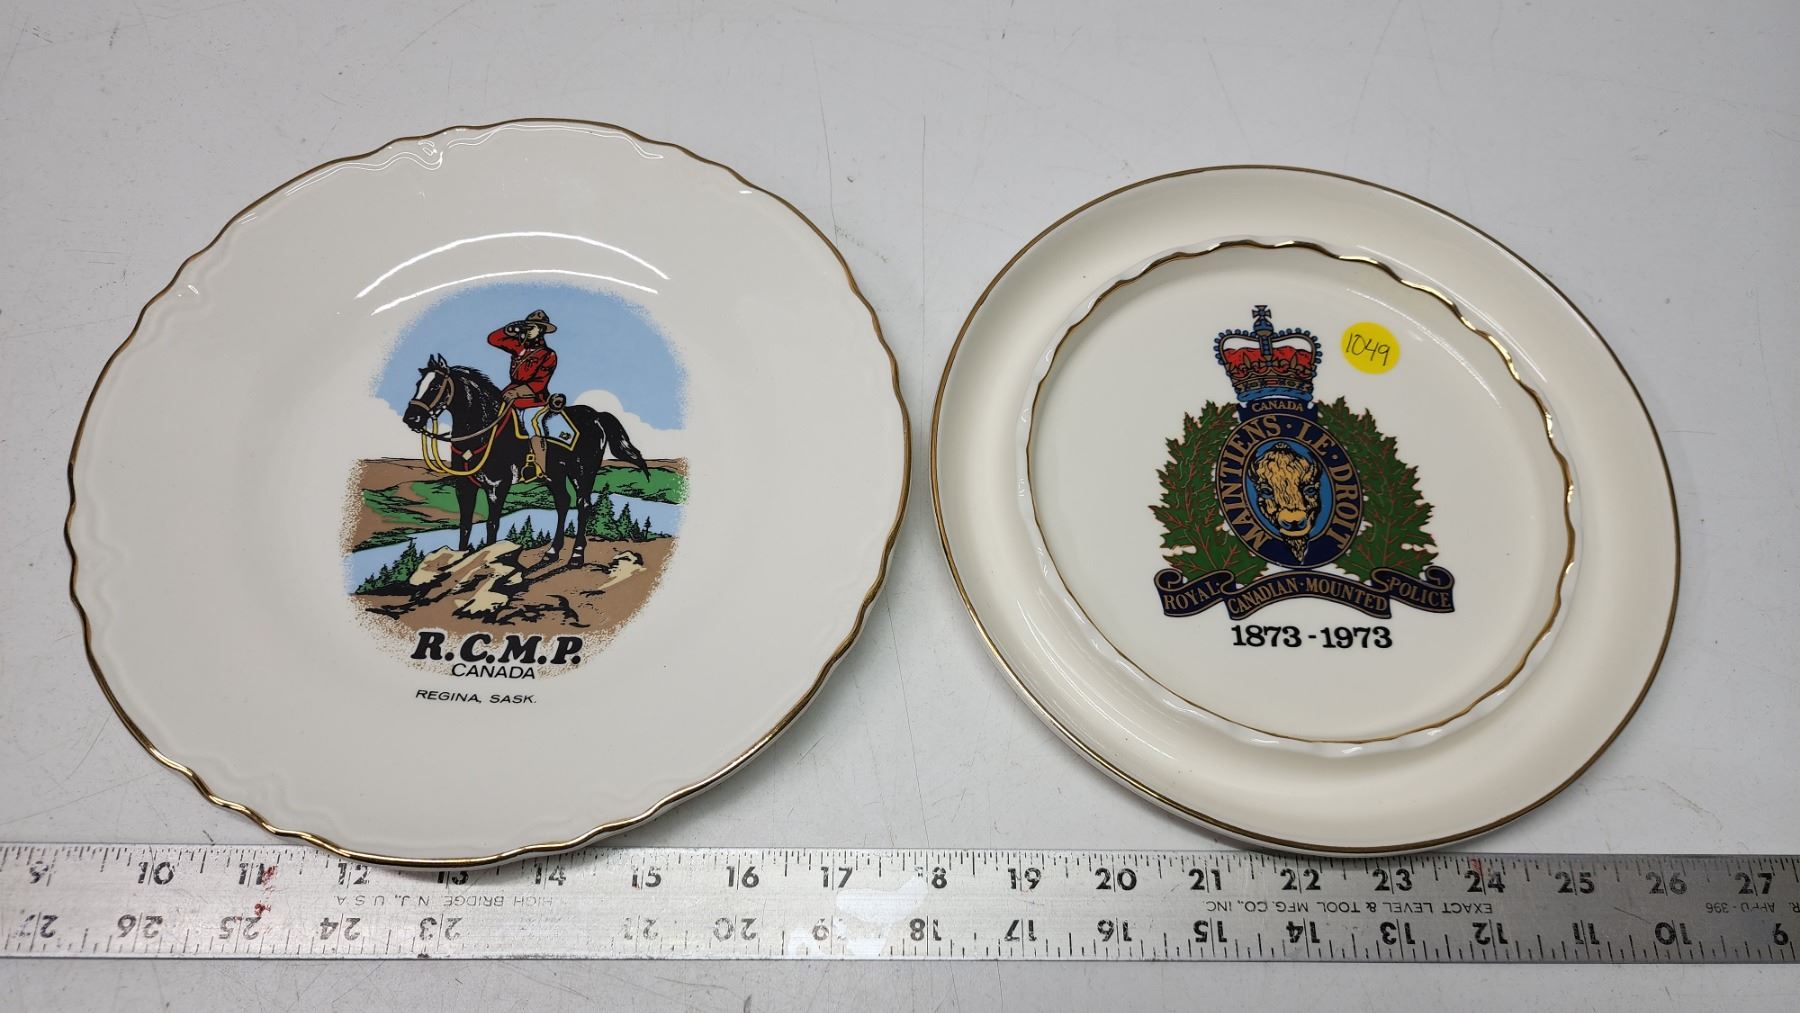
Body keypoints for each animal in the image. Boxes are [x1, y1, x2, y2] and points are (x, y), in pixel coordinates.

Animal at [401, 353, 649, 566]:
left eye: (435, 386)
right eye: (418, 384)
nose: (410, 418)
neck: (483, 431)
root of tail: (596, 416)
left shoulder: (497, 486)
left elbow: (492, 525)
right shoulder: (464, 487)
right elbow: (465, 525)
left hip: (582, 471)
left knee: (583, 504)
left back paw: (577, 555)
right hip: (555, 474)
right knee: (563, 502)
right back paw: (551, 552)